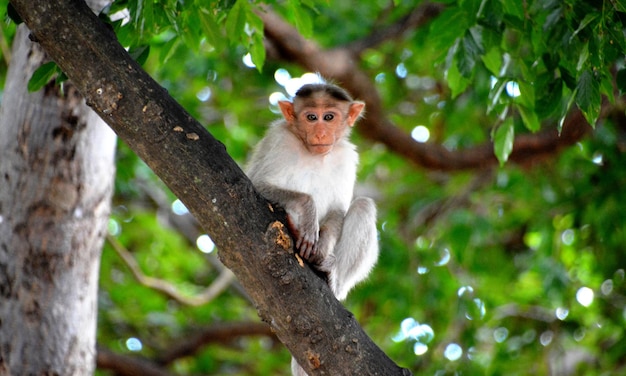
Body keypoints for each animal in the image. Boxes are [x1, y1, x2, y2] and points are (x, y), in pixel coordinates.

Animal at [246, 83, 378, 376]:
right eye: (311, 117)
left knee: (363, 206)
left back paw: (330, 276)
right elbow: (258, 183)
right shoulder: (278, 140)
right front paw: (308, 215)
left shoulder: (346, 156)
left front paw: (322, 245)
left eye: (329, 117)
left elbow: (339, 209)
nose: (320, 132)